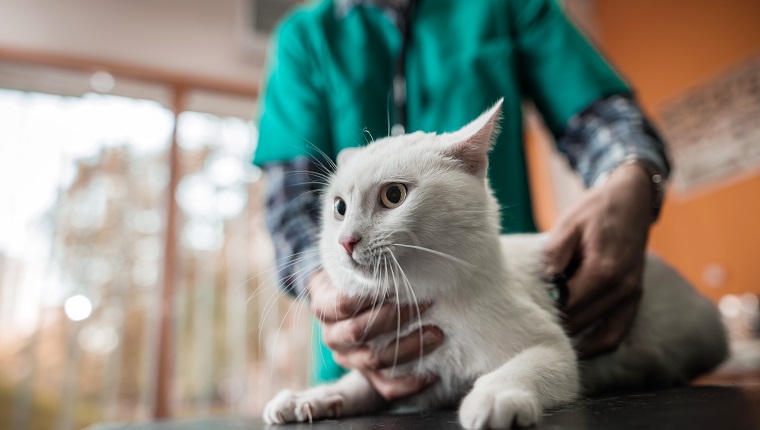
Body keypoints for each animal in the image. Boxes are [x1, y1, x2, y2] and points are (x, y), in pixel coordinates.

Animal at [262, 99, 732, 428]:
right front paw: (306, 398)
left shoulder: (554, 349)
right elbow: (358, 386)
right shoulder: (400, 378)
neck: (429, 301)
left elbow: (525, 366)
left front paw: (492, 398)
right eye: (339, 208)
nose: (345, 241)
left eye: (393, 196)